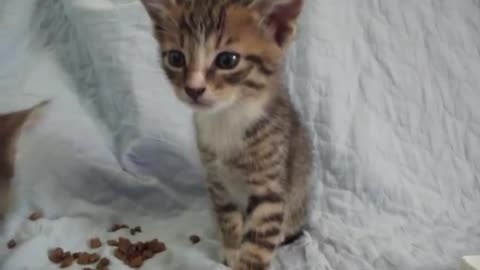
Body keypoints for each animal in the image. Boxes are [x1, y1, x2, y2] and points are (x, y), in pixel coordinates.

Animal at [139, 1, 314, 268]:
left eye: (227, 60)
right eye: (176, 58)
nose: (194, 89)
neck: (227, 116)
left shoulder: (269, 188)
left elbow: (258, 242)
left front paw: (246, 259)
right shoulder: (217, 181)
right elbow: (229, 218)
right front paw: (231, 250)